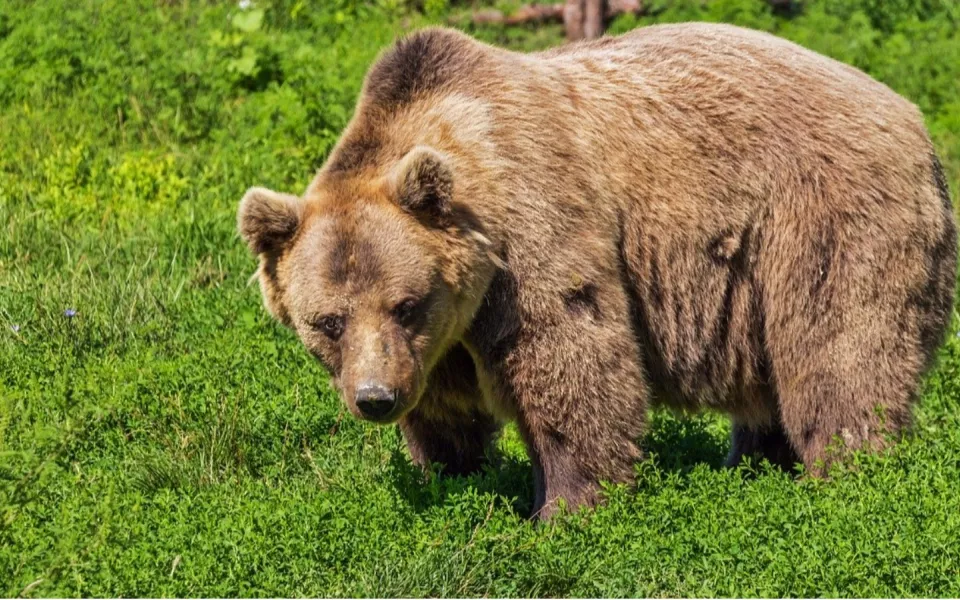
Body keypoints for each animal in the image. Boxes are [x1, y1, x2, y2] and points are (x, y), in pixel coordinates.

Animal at [236, 23, 956, 516]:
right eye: (327, 321)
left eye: (405, 303)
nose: (375, 398)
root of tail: (914, 118)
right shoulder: (440, 340)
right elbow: (445, 407)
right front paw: (450, 473)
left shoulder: (532, 233)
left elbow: (571, 359)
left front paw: (565, 507)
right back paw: (754, 464)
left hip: (822, 221)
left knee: (840, 354)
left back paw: (847, 475)